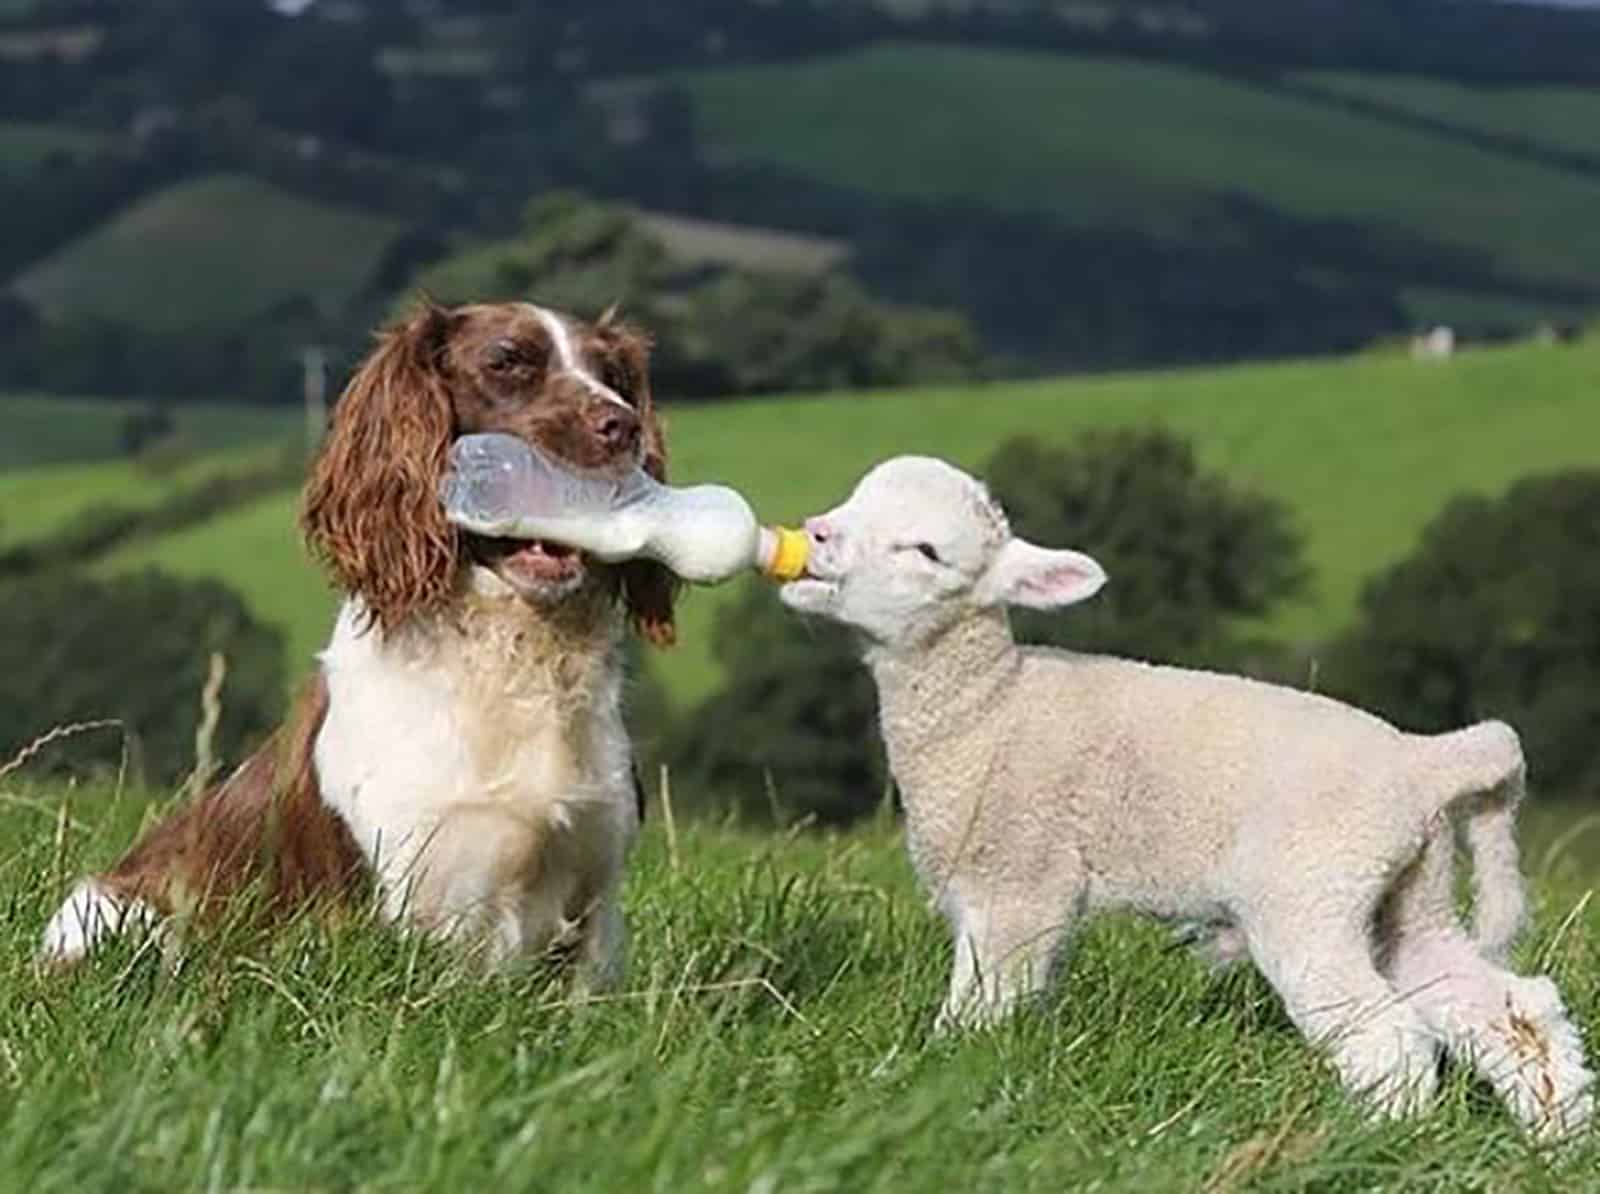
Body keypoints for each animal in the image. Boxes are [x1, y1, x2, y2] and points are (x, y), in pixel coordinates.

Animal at [37, 299, 675, 979]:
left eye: (613, 374)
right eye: (506, 361)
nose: (623, 427)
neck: (514, 654)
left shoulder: (595, 897)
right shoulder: (413, 895)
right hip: (116, 915)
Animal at [780, 454, 1593, 1133]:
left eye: (925, 552)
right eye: (854, 497)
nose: (816, 534)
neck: (989, 710)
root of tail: (1426, 762)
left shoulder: (1018, 885)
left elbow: (982, 1006)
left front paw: (930, 1082)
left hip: (1311, 892)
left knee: (1387, 1035)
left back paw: (1377, 1139)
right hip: (1409, 896)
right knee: (1511, 1009)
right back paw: (1558, 1137)